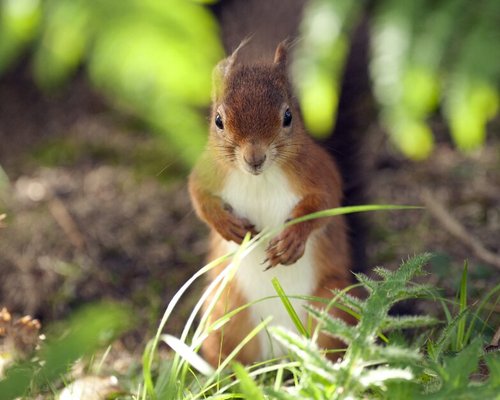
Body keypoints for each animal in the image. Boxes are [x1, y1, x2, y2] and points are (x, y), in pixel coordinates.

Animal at [188, 40, 352, 366]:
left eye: (288, 116)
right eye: (218, 121)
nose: (255, 158)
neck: (258, 179)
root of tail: (280, 352)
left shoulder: (320, 172)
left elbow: (324, 206)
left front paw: (291, 241)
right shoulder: (207, 173)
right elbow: (198, 198)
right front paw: (227, 226)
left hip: (331, 304)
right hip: (224, 311)